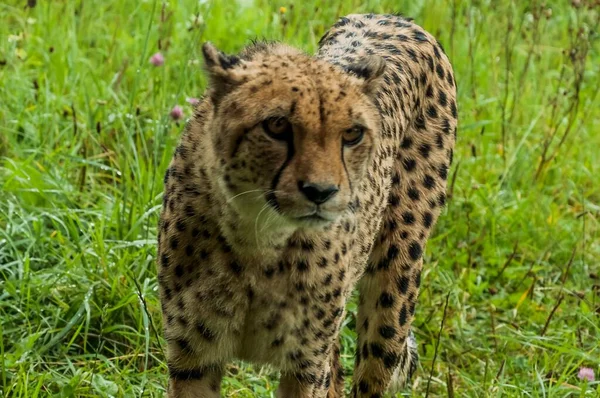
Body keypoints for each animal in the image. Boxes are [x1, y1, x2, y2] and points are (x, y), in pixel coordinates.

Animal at [157, 12, 458, 398]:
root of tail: (391, 17)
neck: (258, 239)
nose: (321, 191)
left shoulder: (305, 366)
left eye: (352, 134)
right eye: (276, 125)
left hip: (395, 282)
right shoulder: (194, 357)